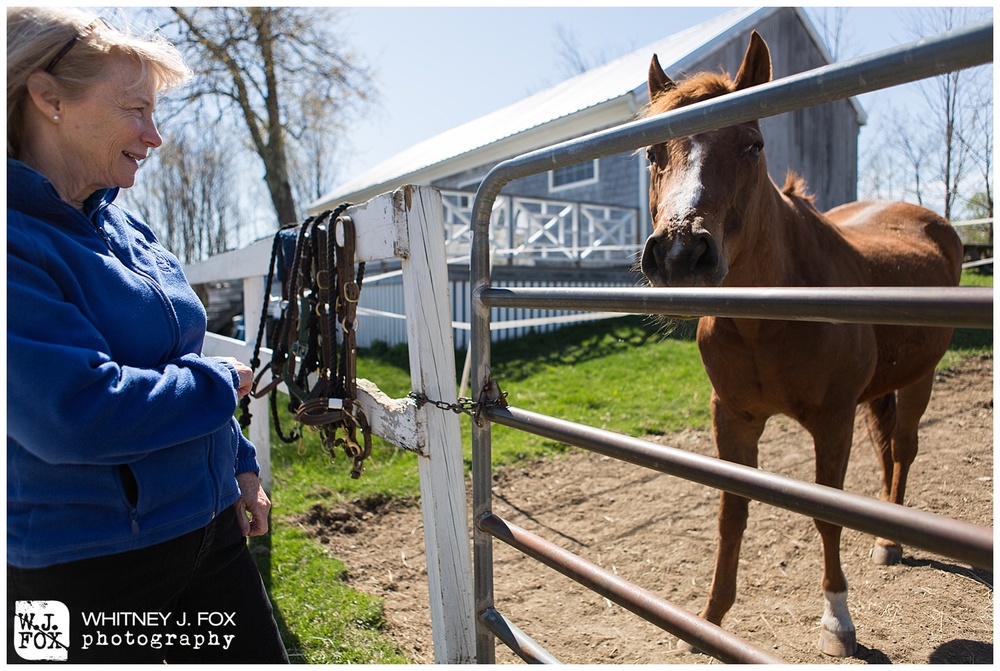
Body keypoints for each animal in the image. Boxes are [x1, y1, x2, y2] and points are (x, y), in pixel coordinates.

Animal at [640, 32, 960, 656]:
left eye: (752, 145)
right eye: (651, 153)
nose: (680, 254)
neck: (765, 322)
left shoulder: (832, 419)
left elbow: (826, 515)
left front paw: (837, 621)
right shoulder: (732, 417)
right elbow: (731, 513)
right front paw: (709, 619)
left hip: (920, 379)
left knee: (903, 449)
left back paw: (891, 541)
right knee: (886, 448)